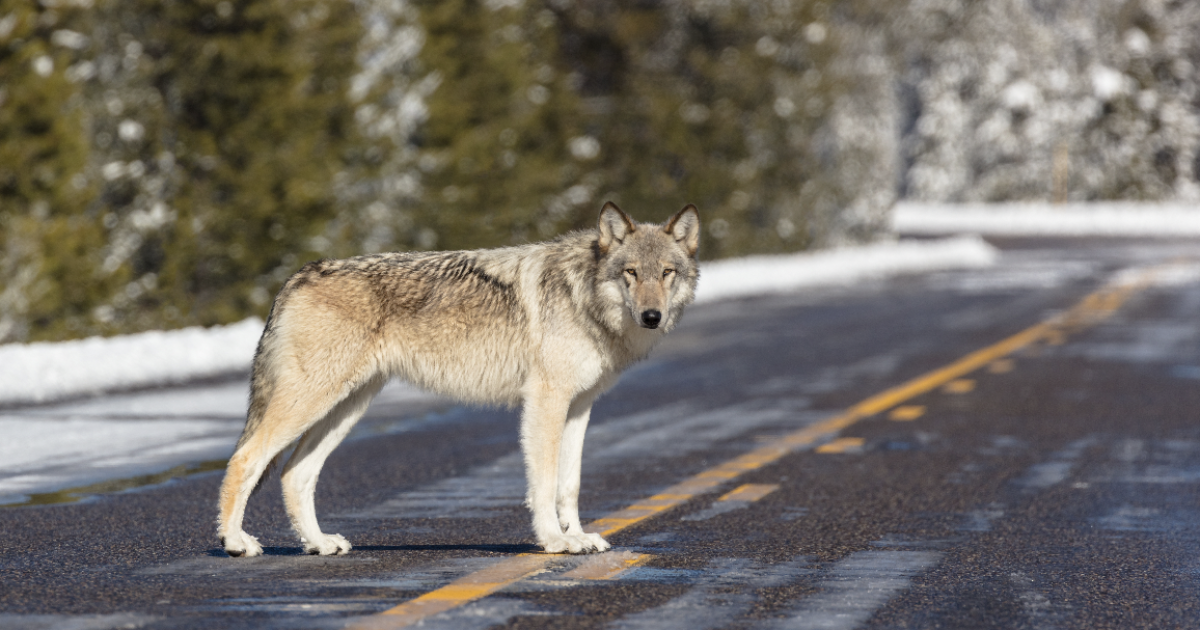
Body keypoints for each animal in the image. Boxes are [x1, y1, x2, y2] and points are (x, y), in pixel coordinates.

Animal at [216, 202, 700, 557]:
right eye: (631, 273)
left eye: (666, 273)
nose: (652, 316)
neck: (584, 297)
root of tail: (299, 274)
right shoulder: (545, 401)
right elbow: (544, 483)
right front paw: (554, 541)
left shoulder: (579, 406)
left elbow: (570, 484)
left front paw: (577, 536)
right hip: (313, 402)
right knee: (245, 458)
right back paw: (236, 542)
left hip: (346, 409)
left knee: (294, 473)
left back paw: (318, 544)